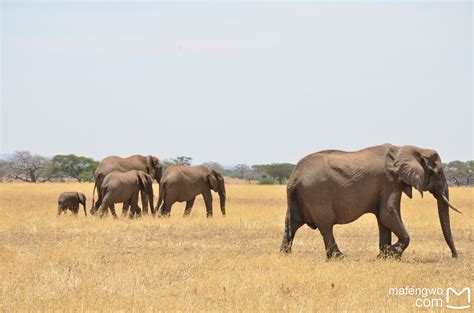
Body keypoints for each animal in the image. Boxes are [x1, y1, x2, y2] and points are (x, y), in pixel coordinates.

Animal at [280, 143, 462, 258]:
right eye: (438, 172)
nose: (454, 256)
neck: (410, 149)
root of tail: (294, 176)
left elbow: (383, 219)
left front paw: (384, 255)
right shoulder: (389, 181)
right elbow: (387, 213)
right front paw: (391, 254)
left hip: (299, 196)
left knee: (292, 223)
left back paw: (284, 254)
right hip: (316, 193)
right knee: (325, 225)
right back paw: (339, 257)